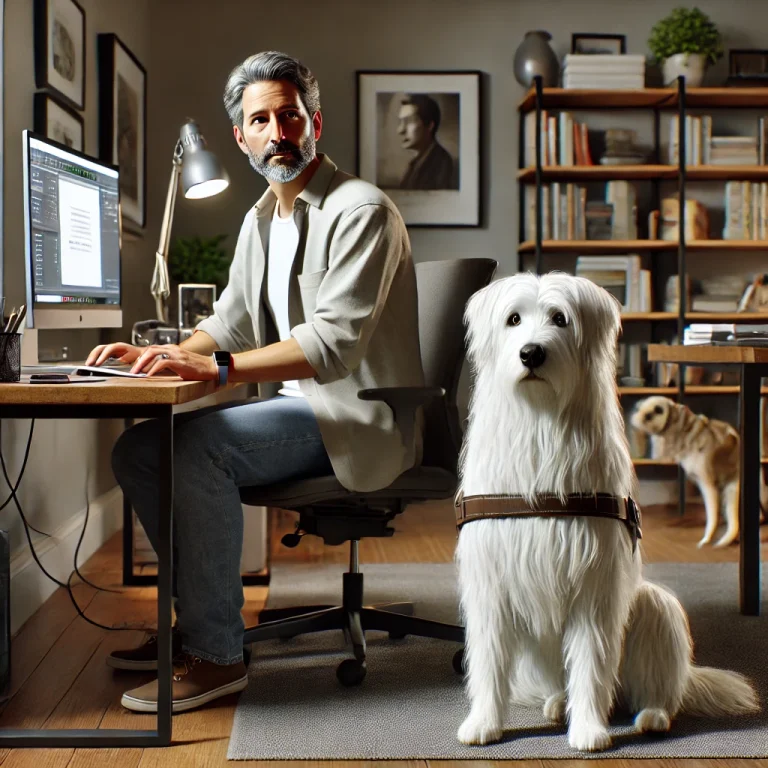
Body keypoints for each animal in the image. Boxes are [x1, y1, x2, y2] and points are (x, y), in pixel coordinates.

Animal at [452, 272, 760, 752]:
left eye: (560, 319)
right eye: (513, 319)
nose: (531, 353)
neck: (540, 425)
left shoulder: (593, 584)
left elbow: (591, 663)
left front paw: (589, 732)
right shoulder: (491, 582)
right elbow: (487, 661)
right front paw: (484, 722)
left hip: (653, 608)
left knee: (652, 690)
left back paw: (650, 715)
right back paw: (558, 703)